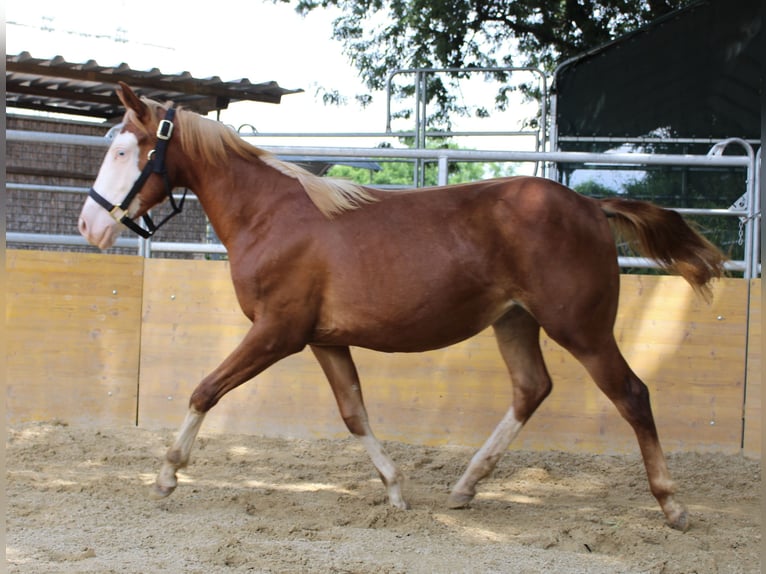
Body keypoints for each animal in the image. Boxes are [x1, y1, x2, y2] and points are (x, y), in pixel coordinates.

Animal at [78, 83, 728, 532]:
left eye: (125, 149)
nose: (89, 226)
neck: (271, 215)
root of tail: (592, 208)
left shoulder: (277, 332)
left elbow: (204, 390)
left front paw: (166, 473)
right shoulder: (323, 339)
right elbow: (353, 413)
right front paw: (394, 489)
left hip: (582, 329)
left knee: (632, 395)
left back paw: (672, 506)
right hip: (515, 322)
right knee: (531, 390)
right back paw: (466, 486)